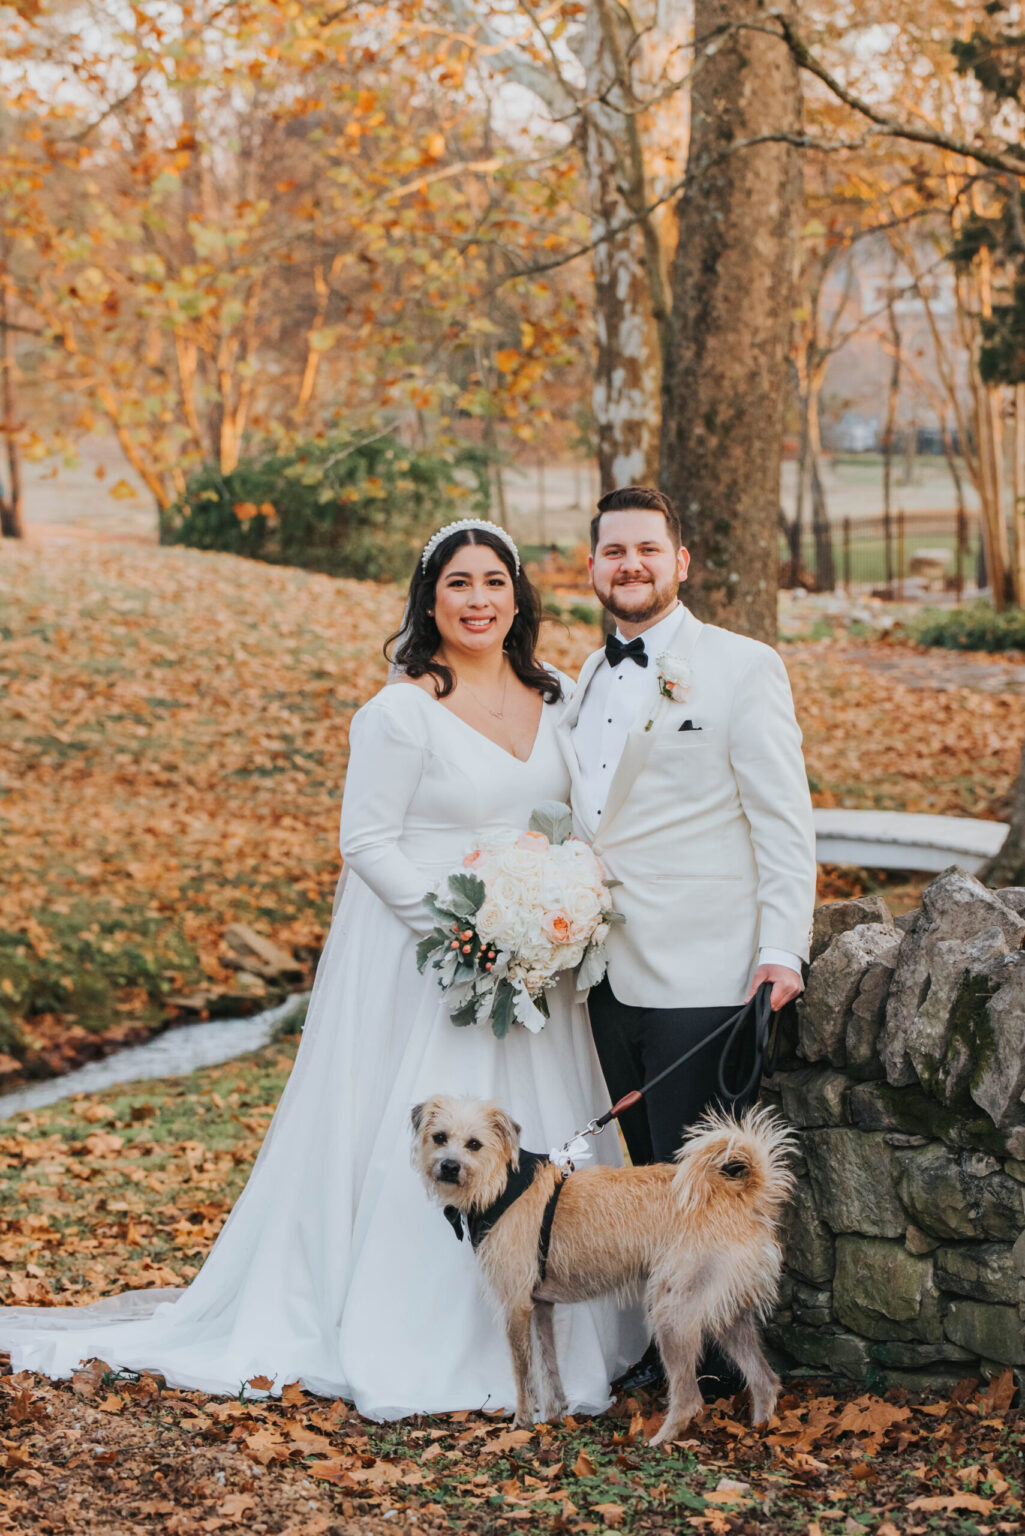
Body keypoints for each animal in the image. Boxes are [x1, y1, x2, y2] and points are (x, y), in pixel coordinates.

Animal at [411, 1099, 799, 1443]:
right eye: (440, 1137)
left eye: (474, 1144)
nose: (448, 1166)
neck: (501, 1185)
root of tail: (743, 1197)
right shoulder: (540, 1307)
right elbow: (549, 1366)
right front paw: (554, 1416)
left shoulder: (515, 1307)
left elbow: (523, 1372)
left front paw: (521, 1423)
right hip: (729, 1314)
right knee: (765, 1380)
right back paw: (758, 1431)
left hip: (672, 1313)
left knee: (690, 1398)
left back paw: (659, 1441)